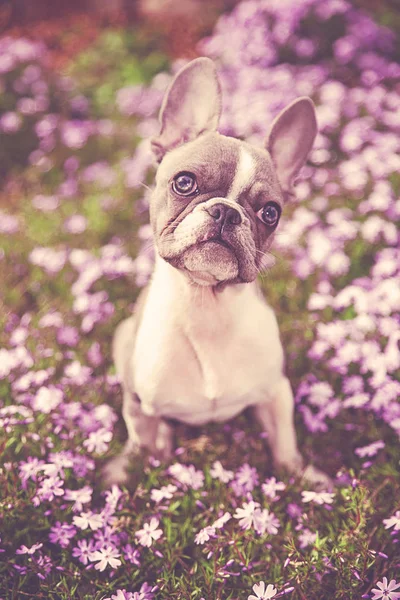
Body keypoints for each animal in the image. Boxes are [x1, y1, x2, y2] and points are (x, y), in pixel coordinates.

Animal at [103, 55, 332, 488]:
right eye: (184, 182)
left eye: (271, 212)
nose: (226, 211)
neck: (205, 305)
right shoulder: (141, 403)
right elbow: (142, 442)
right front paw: (134, 468)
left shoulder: (276, 394)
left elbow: (285, 444)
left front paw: (301, 477)